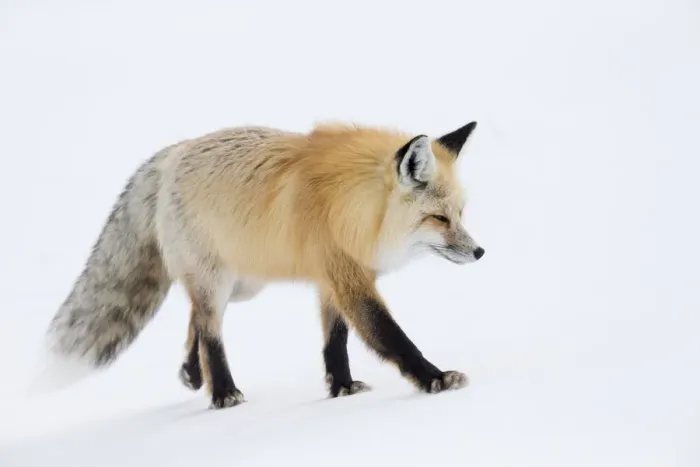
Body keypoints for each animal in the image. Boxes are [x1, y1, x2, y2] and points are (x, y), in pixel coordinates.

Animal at [43, 120, 485, 409]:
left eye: (461, 213)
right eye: (439, 219)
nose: (480, 252)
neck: (352, 207)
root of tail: (173, 153)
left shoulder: (331, 279)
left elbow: (335, 342)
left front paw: (340, 387)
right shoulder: (348, 280)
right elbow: (392, 336)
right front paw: (435, 379)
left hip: (243, 286)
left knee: (196, 319)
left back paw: (192, 373)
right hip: (218, 281)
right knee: (210, 331)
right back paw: (222, 392)